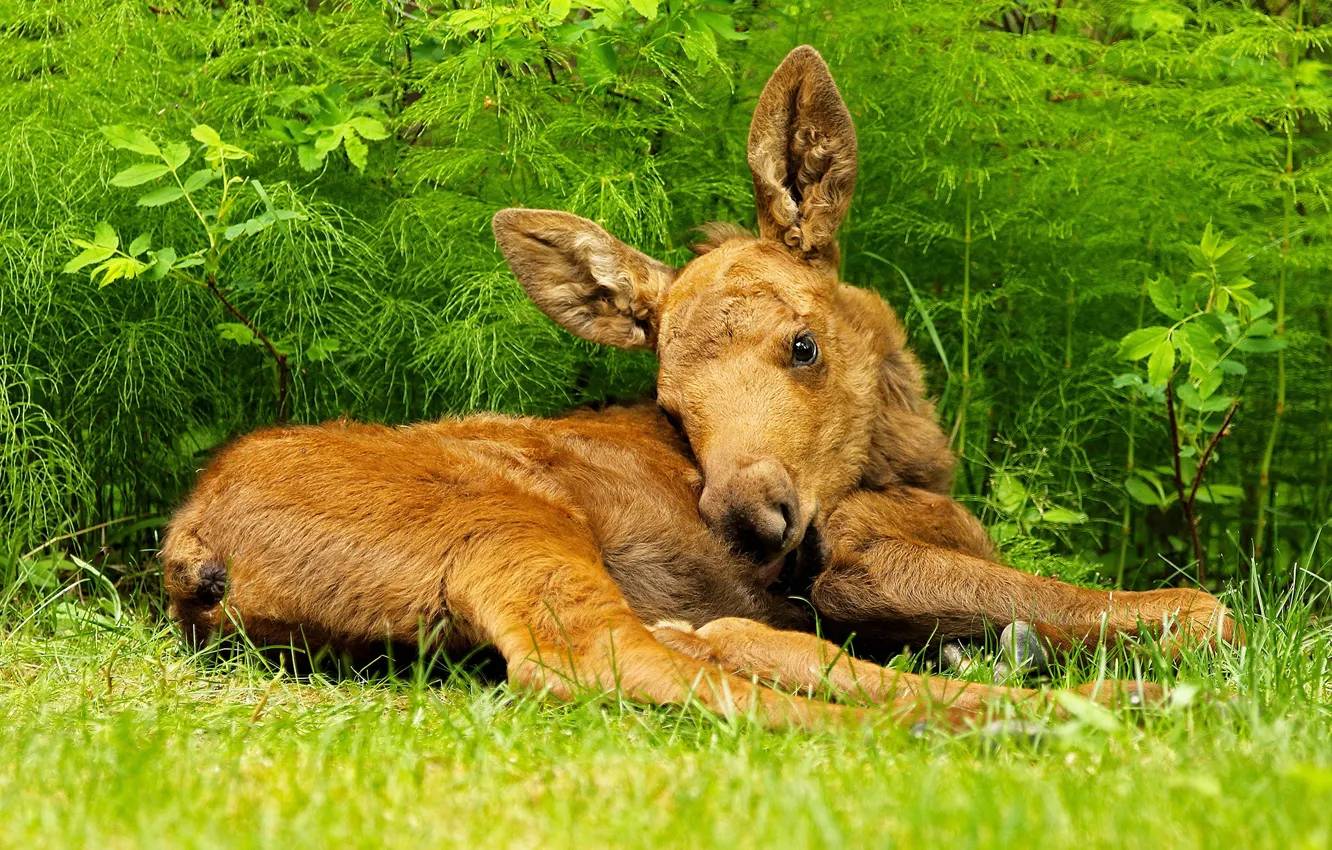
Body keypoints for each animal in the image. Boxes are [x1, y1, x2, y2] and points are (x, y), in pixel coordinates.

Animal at [161, 46, 1234, 734]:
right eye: (672, 404)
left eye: (803, 344)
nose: (747, 516)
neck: (911, 465)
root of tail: (191, 551)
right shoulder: (857, 559)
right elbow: (1198, 606)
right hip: (502, 527)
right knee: (599, 662)